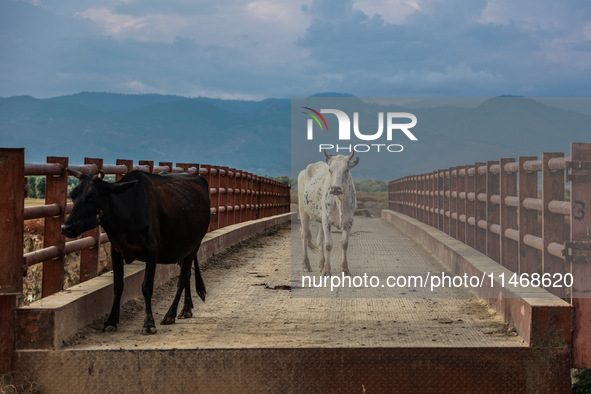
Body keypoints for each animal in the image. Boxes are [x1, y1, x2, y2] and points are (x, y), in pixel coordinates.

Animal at [61, 170, 210, 336]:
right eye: (73, 195)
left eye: (91, 196)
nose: (66, 227)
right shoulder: (116, 251)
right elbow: (118, 286)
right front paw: (111, 321)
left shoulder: (152, 250)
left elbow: (146, 287)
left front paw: (149, 323)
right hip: (183, 248)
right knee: (187, 274)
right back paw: (186, 309)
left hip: (195, 244)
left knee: (183, 278)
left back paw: (170, 314)